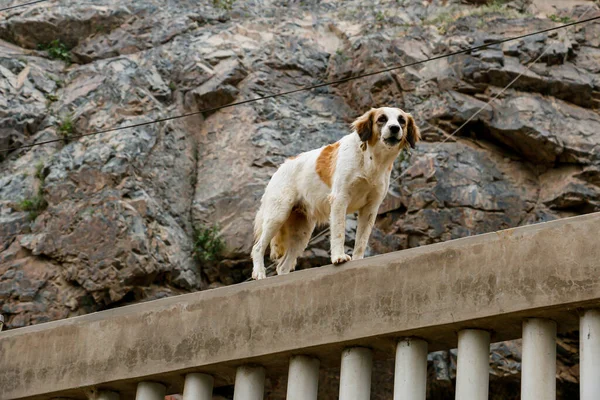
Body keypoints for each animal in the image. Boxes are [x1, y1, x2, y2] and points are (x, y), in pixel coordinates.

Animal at [251, 107, 420, 282]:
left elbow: (361, 240)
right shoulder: (340, 199)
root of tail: (280, 168)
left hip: (302, 232)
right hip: (278, 215)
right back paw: (259, 273)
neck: (372, 160)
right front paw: (339, 257)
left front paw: (358, 260)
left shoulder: (370, 208)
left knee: (282, 266)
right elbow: (339, 232)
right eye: (382, 119)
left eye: (402, 121)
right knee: (257, 247)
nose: (394, 128)